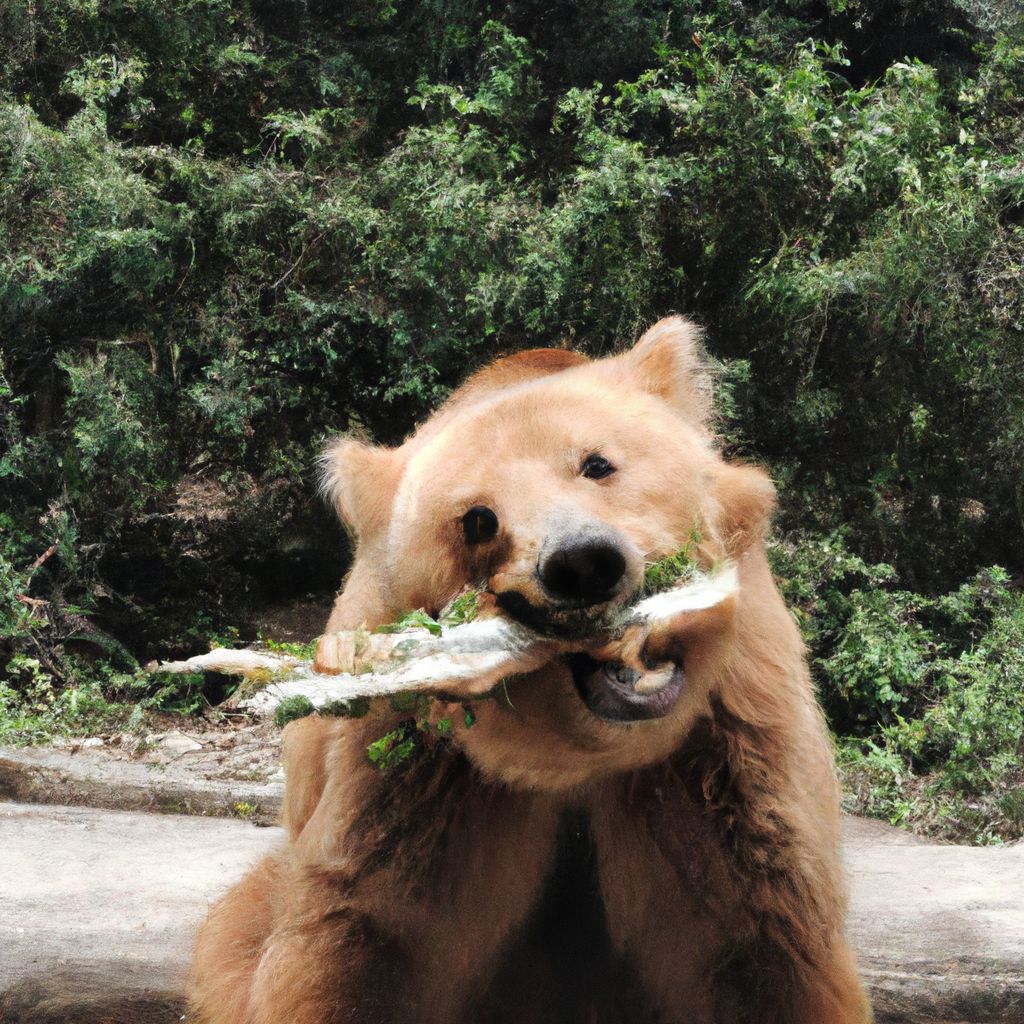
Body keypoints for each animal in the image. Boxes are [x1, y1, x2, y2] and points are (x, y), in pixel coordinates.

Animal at [190, 317, 872, 1024]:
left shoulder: (727, 739)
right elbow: (368, 931)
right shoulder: (421, 766)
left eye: (597, 463)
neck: (577, 753)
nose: (581, 563)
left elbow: (758, 932)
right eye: (477, 519)